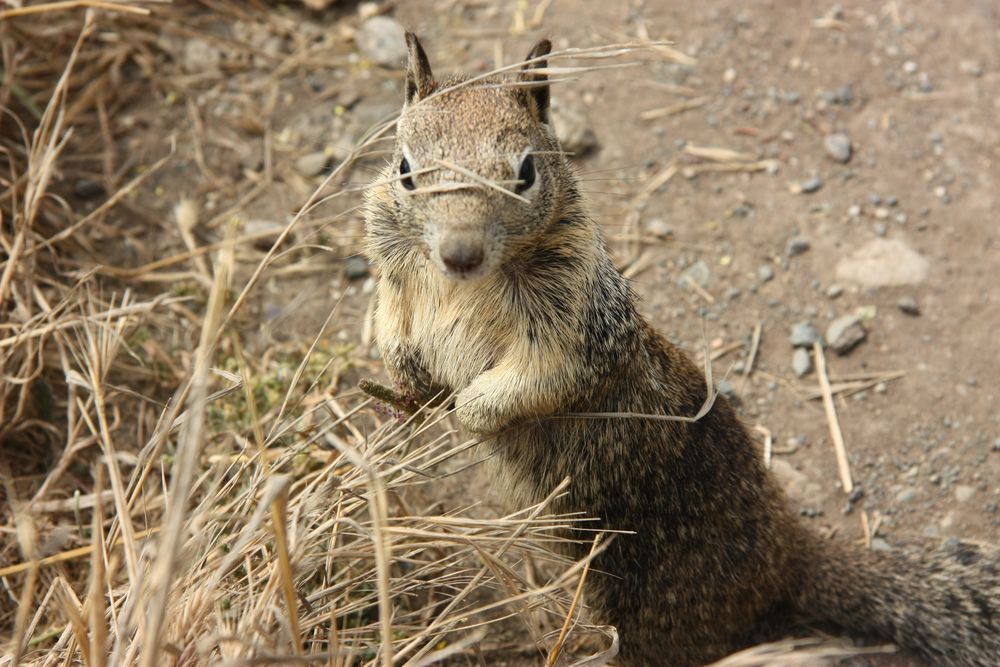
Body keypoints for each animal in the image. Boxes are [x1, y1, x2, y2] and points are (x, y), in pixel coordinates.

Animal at [366, 34, 1000, 664]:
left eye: (525, 172)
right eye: (405, 170)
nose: (460, 253)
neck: (462, 286)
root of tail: (791, 555)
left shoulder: (579, 326)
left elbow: (543, 376)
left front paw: (471, 411)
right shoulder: (395, 277)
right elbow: (389, 319)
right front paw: (406, 382)